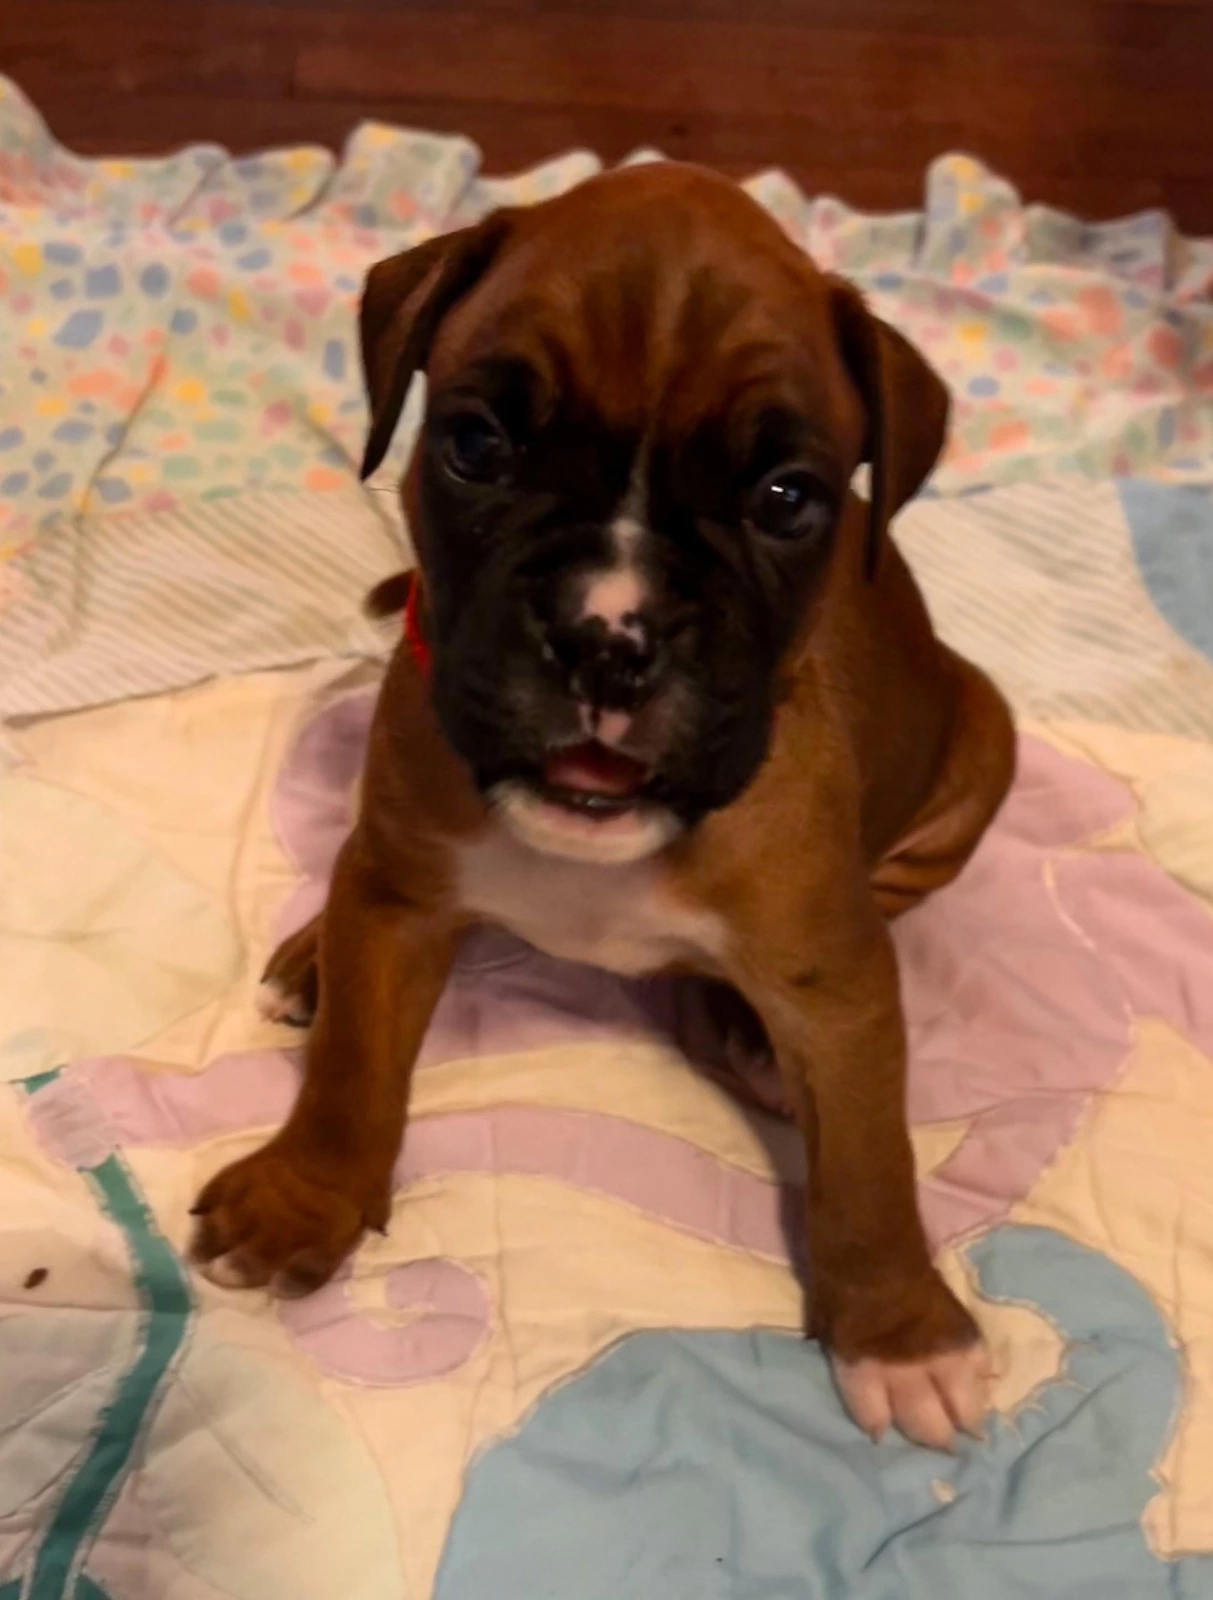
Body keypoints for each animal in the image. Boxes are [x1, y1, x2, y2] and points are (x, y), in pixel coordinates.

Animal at [190, 162, 1015, 1451]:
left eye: (788, 498)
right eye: (475, 443)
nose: (606, 636)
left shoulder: (839, 986)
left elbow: (870, 1161)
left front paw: (900, 1332)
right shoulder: (401, 898)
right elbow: (353, 1068)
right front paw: (303, 1195)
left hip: (981, 745)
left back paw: (742, 1027)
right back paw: (311, 954)